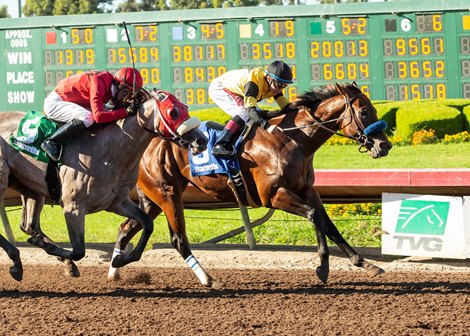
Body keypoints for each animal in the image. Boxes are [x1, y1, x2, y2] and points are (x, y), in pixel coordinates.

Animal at [108, 82, 392, 284]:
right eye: (364, 111)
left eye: (374, 109)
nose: (384, 146)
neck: (293, 140)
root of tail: (145, 144)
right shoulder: (274, 196)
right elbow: (314, 217)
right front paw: (322, 268)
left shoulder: (307, 190)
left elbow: (328, 224)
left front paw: (365, 263)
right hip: (167, 194)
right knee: (177, 239)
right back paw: (207, 279)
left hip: (153, 199)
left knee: (125, 228)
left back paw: (115, 269)